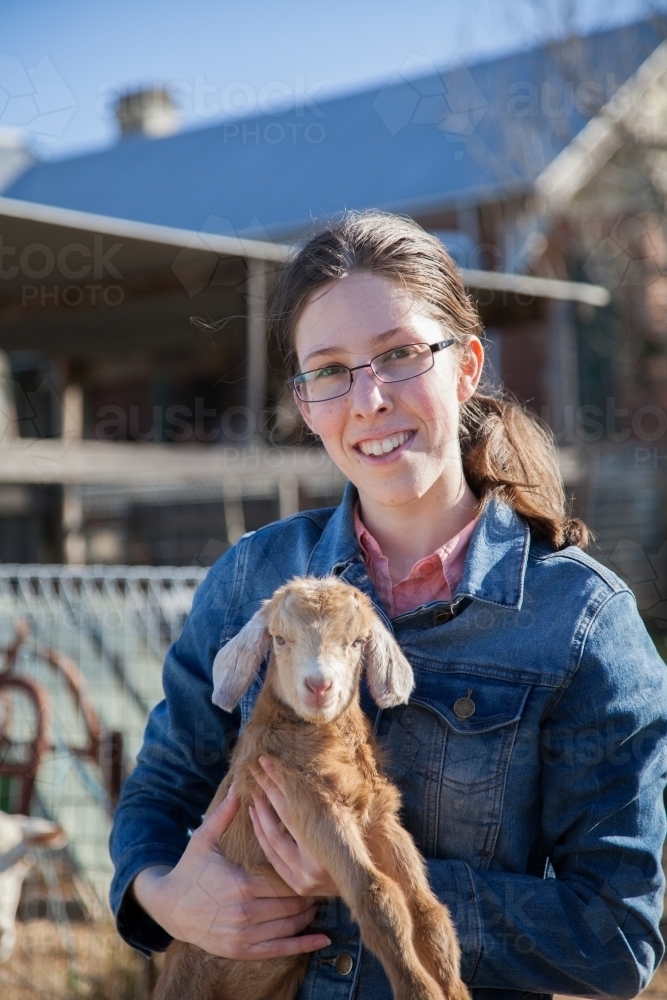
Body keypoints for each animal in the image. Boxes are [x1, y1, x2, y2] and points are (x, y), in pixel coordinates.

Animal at [155, 576, 470, 1000]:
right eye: (279, 639)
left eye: (357, 642)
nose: (319, 686)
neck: (324, 738)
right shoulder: (310, 803)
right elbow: (378, 897)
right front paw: (419, 990)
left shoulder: (380, 817)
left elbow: (427, 911)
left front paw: (453, 990)